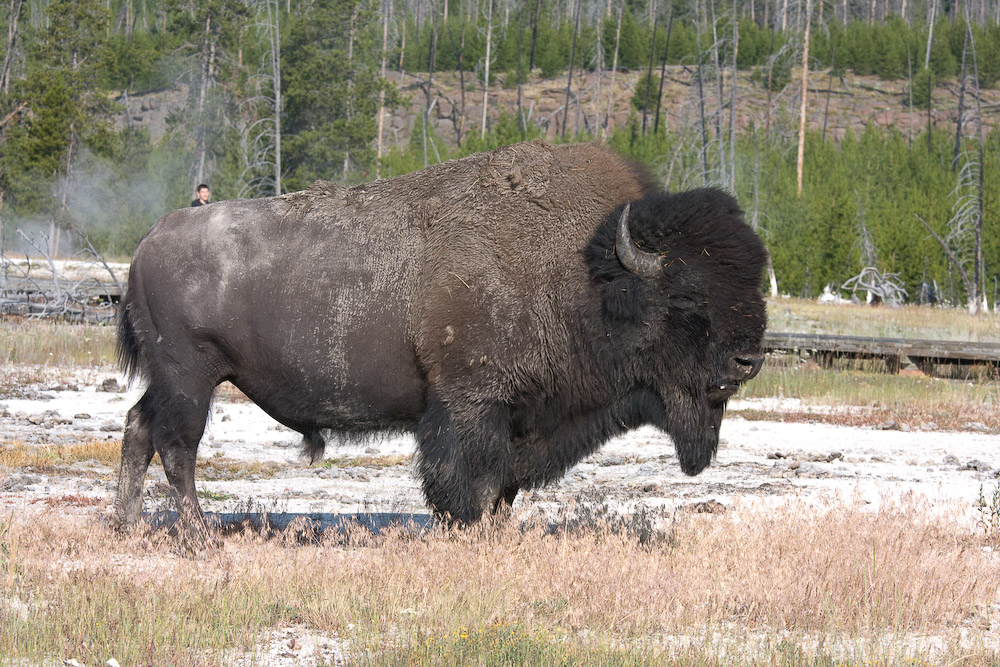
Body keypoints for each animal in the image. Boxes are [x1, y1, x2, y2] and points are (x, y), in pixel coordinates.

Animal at [113, 140, 767, 529]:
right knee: (176, 446)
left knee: (139, 429)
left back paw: (125, 524)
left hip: (171, 380)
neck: (588, 274)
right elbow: (470, 482)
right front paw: (468, 531)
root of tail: (148, 241)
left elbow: (504, 487)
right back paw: (200, 537)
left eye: (755, 282)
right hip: (191, 377)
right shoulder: (472, 404)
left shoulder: (520, 418)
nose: (748, 360)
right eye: (687, 297)